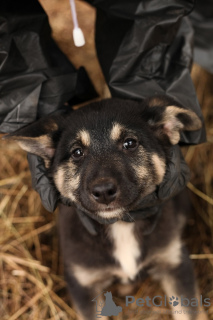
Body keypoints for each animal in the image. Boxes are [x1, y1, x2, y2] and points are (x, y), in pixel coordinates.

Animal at [5, 97, 208, 320]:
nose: (103, 192)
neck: (120, 225)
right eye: (77, 153)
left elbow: (188, 311)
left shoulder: (176, 264)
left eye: (130, 143)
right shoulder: (84, 284)